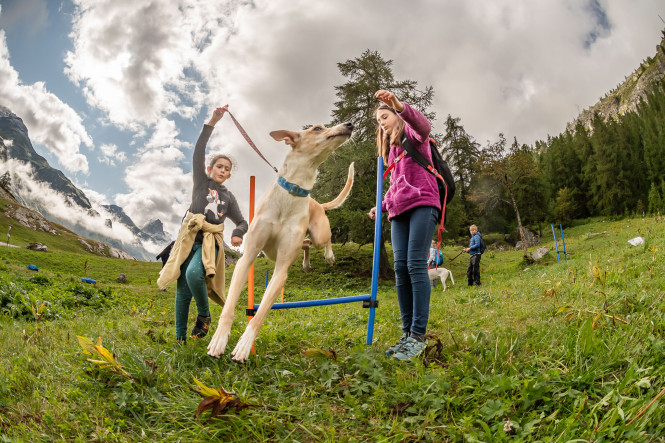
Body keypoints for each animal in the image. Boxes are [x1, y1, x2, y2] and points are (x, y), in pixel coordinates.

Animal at [208, 120, 352, 360]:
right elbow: (228, 307)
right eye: (317, 129)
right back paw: (306, 263)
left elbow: (259, 314)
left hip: (318, 234)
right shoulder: (247, 258)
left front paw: (244, 346)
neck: (293, 192)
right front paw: (219, 339)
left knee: (323, 241)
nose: (349, 124)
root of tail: (317, 203)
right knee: (306, 245)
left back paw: (329, 256)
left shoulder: (281, 271)